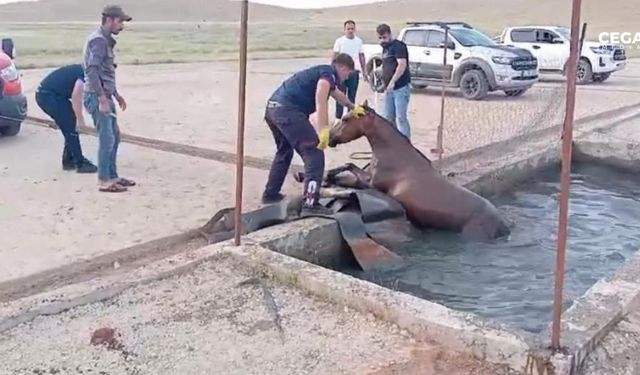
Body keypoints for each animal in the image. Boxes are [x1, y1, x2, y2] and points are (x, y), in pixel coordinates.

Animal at [324, 100, 510, 241]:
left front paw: (328, 179)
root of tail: (503, 226)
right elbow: (347, 168)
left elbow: (349, 168)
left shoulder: (371, 184)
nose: (330, 138)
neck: (394, 155)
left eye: (346, 119)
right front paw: (328, 179)